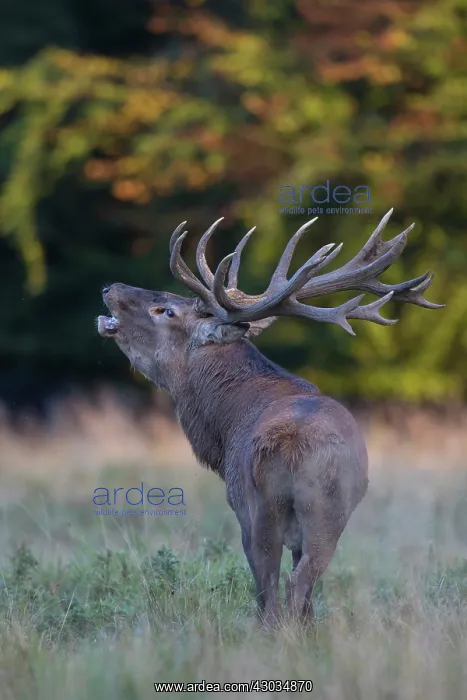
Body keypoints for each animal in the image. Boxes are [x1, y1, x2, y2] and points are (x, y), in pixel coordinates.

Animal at [97, 209, 442, 628]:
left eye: (166, 310)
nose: (110, 287)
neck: (223, 429)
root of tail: (292, 446)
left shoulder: (237, 500)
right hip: (330, 510)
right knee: (304, 581)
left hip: (260, 506)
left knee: (276, 589)